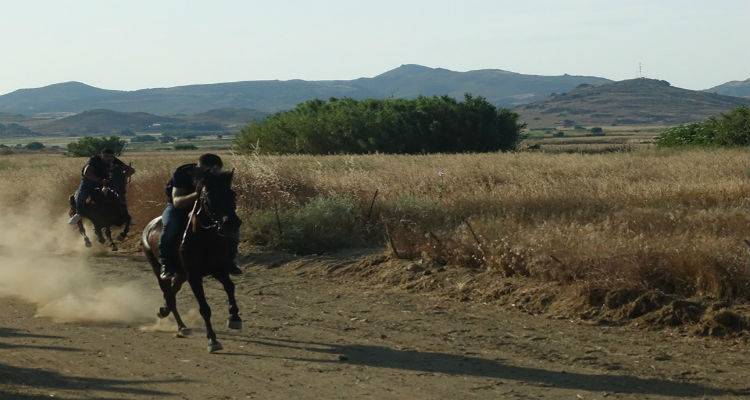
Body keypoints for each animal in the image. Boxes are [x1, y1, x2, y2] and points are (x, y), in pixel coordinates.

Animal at [142, 170, 242, 352]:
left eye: (233, 194)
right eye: (209, 198)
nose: (232, 223)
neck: (205, 237)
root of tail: (148, 227)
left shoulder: (219, 269)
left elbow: (230, 287)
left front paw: (234, 317)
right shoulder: (194, 276)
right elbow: (204, 308)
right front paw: (212, 340)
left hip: (181, 274)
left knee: (172, 291)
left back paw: (165, 311)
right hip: (158, 268)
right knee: (169, 293)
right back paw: (180, 326)